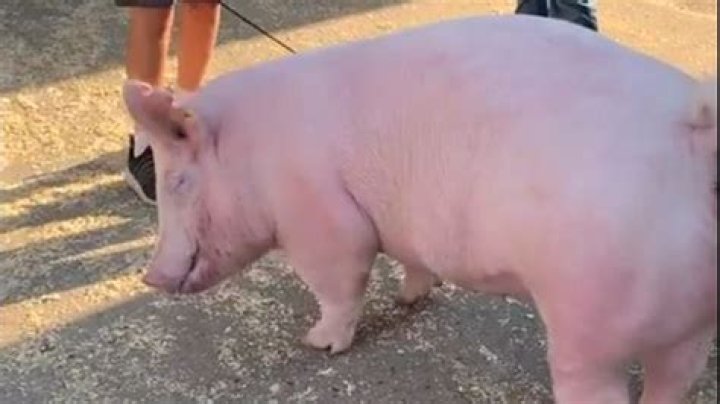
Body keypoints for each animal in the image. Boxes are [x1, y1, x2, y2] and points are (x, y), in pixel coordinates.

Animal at [122, 14, 717, 404]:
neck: (253, 153)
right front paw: (409, 299)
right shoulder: (405, 227)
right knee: (674, 382)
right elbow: (413, 262)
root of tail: (690, 126)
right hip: (692, 322)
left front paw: (317, 344)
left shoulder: (321, 220)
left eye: (178, 180)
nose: (149, 276)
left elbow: (340, 285)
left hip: (590, 323)